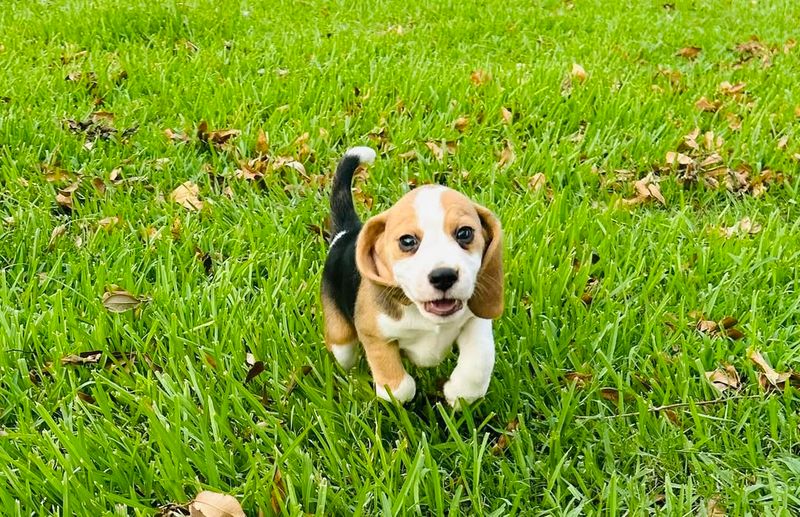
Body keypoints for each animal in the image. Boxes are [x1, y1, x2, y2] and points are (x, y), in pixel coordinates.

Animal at [322, 146, 504, 408]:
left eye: (465, 233)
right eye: (407, 241)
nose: (443, 276)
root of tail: (345, 234)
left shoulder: (475, 318)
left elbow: (479, 361)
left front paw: (460, 392)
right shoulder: (374, 335)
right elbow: (400, 388)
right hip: (341, 341)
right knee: (346, 354)